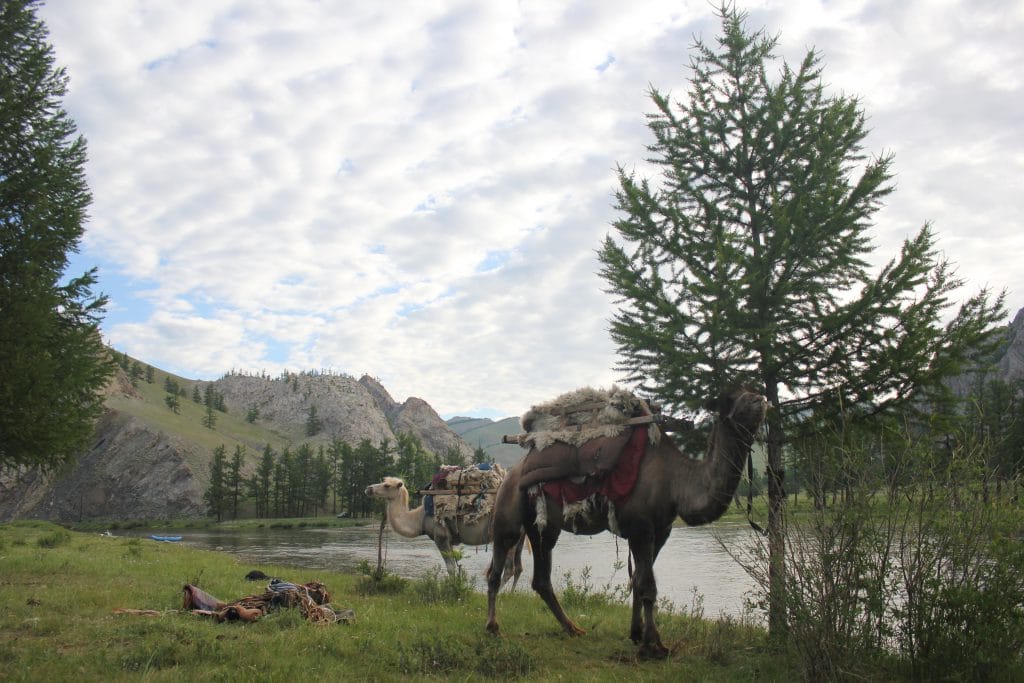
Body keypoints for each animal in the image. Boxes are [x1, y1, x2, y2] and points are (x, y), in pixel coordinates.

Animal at [366, 475, 524, 589]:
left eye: (387, 485)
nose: (368, 488)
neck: (419, 519)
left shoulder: (440, 537)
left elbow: (450, 568)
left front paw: (452, 588)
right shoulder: (450, 540)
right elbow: (454, 564)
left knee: (509, 568)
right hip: (520, 537)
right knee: (518, 568)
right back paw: (510, 594)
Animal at [487, 389, 770, 663]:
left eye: (749, 390)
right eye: (732, 398)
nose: (761, 398)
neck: (675, 482)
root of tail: (512, 471)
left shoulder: (661, 530)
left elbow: (638, 580)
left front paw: (637, 634)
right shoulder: (640, 527)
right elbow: (647, 585)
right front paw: (652, 646)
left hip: (544, 526)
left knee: (541, 578)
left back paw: (573, 628)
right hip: (508, 510)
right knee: (496, 567)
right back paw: (493, 628)